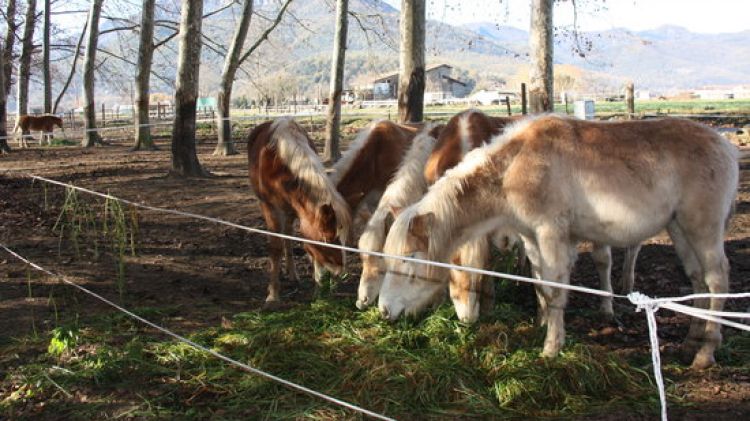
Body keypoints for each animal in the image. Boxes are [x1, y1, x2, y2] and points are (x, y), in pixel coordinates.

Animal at [247, 118, 352, 302]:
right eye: (327, 238)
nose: (339, 272)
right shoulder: (272, 210)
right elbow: (275, 248)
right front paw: (273, 294)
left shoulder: (299, 213)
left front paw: (318, 289)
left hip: (289, 213)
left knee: (288, 237)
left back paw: (292, 274)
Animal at [382, 115, 740, 368]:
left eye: (409, 262)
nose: (384, 311)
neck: (514, 166)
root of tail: (726, 146)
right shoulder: (531, 238)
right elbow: (541, 284)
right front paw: (544, 328)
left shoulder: (550, 233)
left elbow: (555, 289)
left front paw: (551, 349)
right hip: (680, 230)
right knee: (697, 280)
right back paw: (691, 342)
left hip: (703, 229)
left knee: (717, 280)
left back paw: (705, 353)